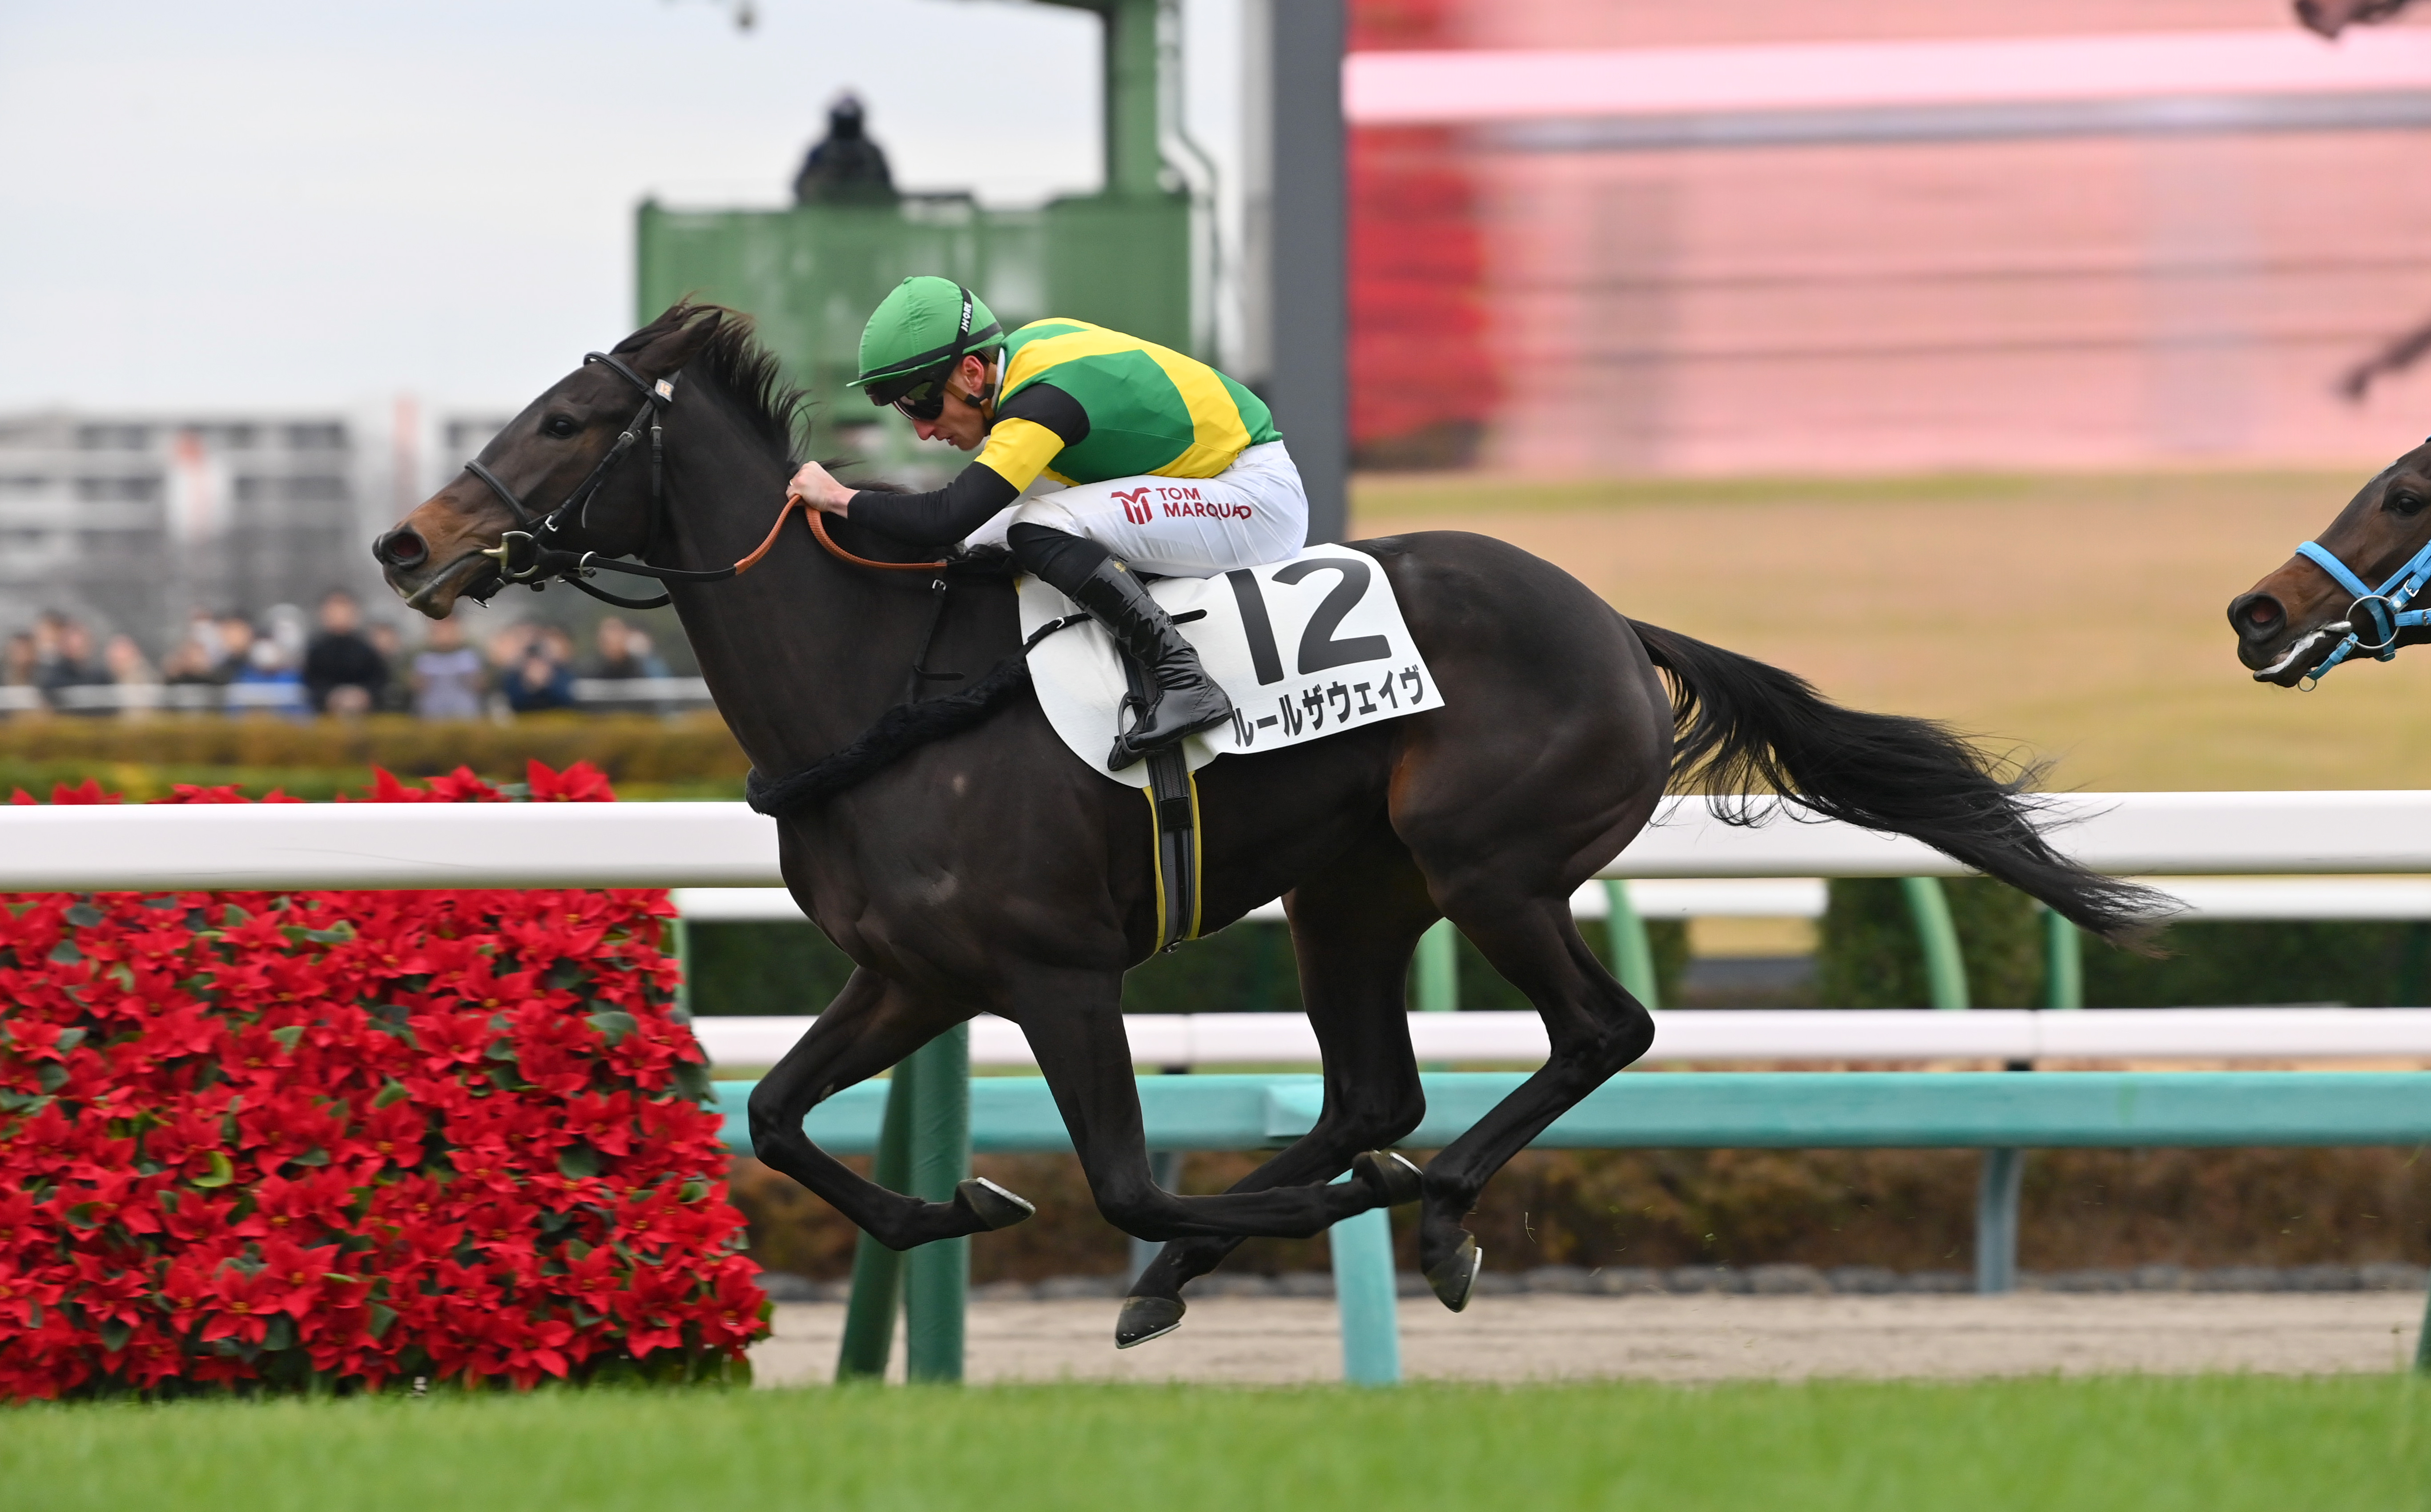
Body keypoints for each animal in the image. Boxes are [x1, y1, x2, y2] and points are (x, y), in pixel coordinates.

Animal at [376, 303, 2157, 1347]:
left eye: (561, 423)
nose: (404, 546)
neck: (878, 688)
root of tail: (1611, 619)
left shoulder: (1054, 971)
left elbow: (1126, 1177)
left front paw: (1278, 1217)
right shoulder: (912, 976)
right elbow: (774, 1120)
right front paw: (957, 1206)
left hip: (1492, 866)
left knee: (1598, 1032)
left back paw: (1427, 1206)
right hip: (1349, 896)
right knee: (1375, 1084)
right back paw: (1313, 1229)